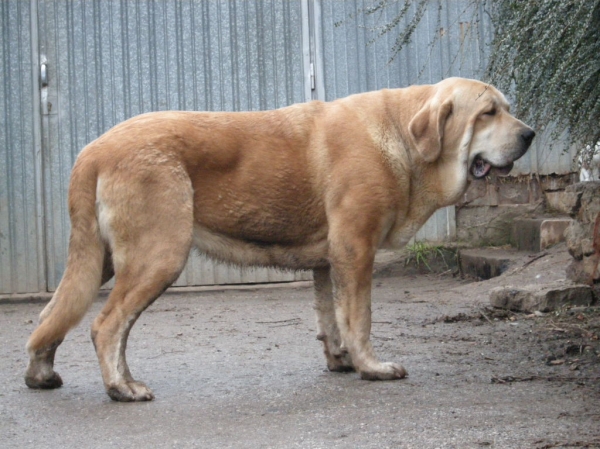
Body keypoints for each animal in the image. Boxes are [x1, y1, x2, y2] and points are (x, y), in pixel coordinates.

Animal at [25, 78, 536, 402]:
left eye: (508, 109)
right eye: (488, 112)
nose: (531, 134)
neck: (402, 138)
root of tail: (92, 150)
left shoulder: (329, 261)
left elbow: (332, 318)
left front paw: (341, 360)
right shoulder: (356, 249)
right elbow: (360, 317)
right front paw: (372, 368)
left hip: (102, 260)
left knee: (54, 316)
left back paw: (42, 374)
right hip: (158, 257)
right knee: (106, 325)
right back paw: (122, 388)